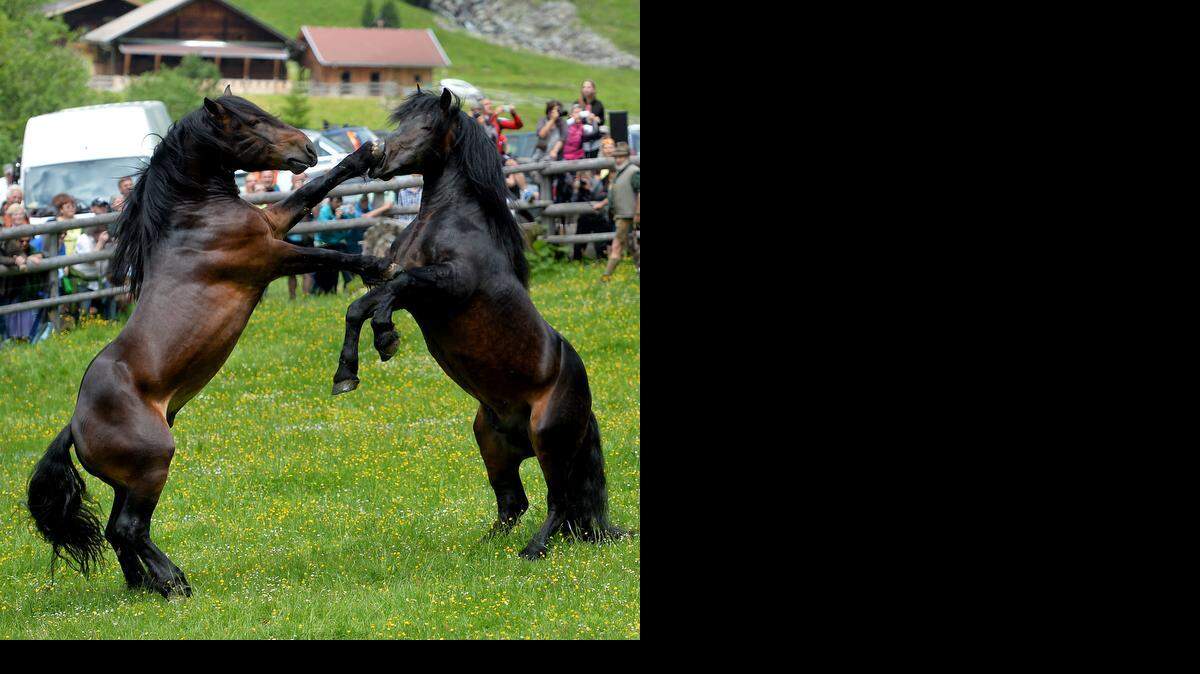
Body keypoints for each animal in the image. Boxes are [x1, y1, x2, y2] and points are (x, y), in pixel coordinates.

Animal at [26, 89, 395, 597]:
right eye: (248, 124)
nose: (306, 148)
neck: (195, 218)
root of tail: (74, 428)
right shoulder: (270, 254)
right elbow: (329, 254)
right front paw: (381, 264)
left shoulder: (274, 223)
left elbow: (311, 192)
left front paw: (364, 155)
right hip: (153, 464)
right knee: (129, 528)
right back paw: (174, 583)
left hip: (129, 480)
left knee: (119, 529)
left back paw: (143, 587)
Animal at [331, 88, 628, 559]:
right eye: (401, 123)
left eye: (427, 126)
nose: (378, 159)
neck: (448, 221)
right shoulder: (408, 287)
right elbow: (361, 306)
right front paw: (348, 372)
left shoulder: (446, 284)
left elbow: (393, 292)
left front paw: (386, 337)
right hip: (491, 440)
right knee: (513, 502)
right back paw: (483, 547)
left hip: (549, 438)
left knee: (558, 501)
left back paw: (532, 550)